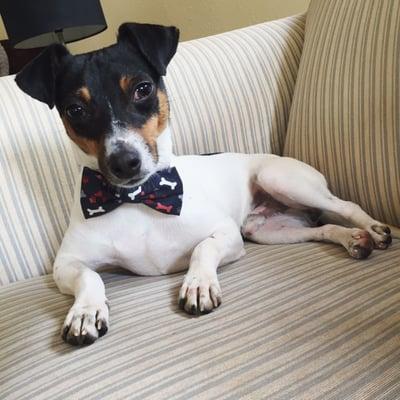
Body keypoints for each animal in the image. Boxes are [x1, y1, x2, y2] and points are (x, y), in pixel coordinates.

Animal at [15, 23, 390, 346]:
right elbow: (89, 276)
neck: (138, 196)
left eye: (142, 89)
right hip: (267, 230)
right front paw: (84, 311)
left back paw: (371, 228)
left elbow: (202, 248)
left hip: (278, 179)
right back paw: (352, 239)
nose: (124, 162)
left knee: (344, 206)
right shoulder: (66, 263)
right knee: (321, 228)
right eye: (75, 109)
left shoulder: (227, 233)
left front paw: (198, 283)